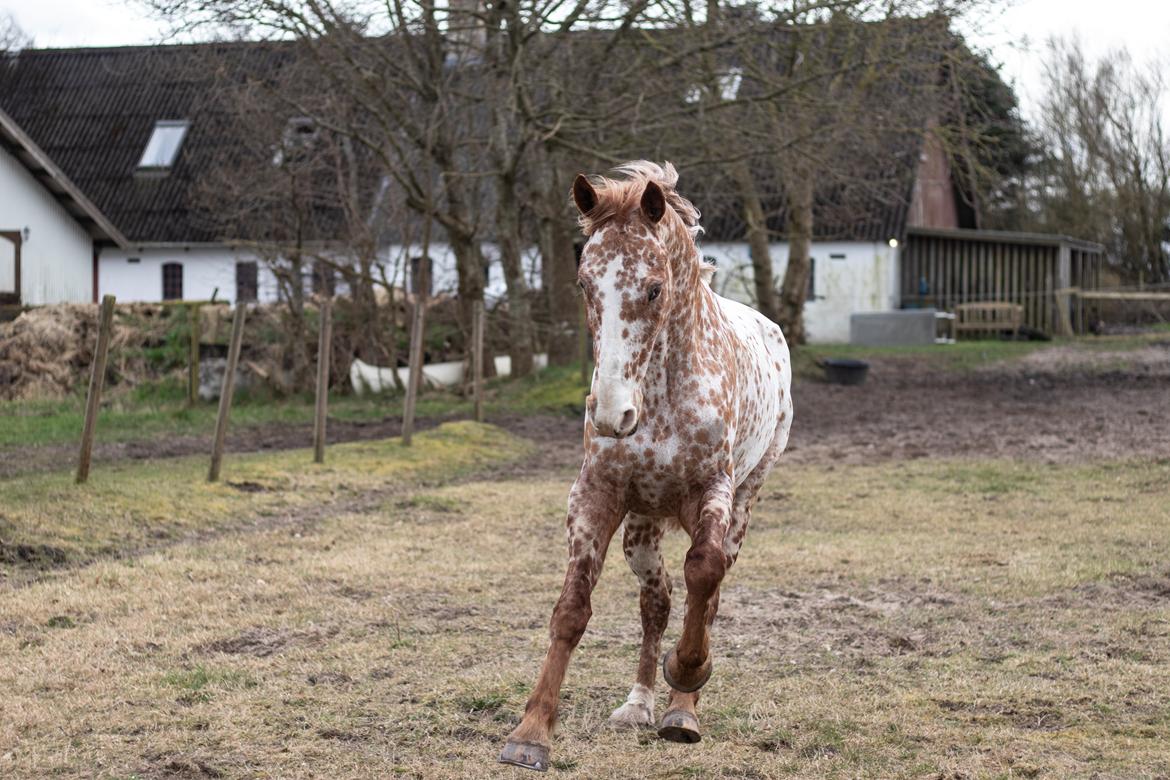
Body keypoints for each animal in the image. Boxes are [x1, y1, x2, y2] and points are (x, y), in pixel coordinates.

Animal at [498, 161, 790, 771]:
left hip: (745, 500)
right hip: (641, 527)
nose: (613, 414)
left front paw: (688, 670)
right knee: (657, 601)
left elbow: (704, 572)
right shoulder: (595, 494)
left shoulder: (713, 490)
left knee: (709, 592)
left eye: (654, 288)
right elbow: (572, 609)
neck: (660, 390)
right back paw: (640, 704)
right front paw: (531, 731)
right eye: (585, 284)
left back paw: (681, 709)